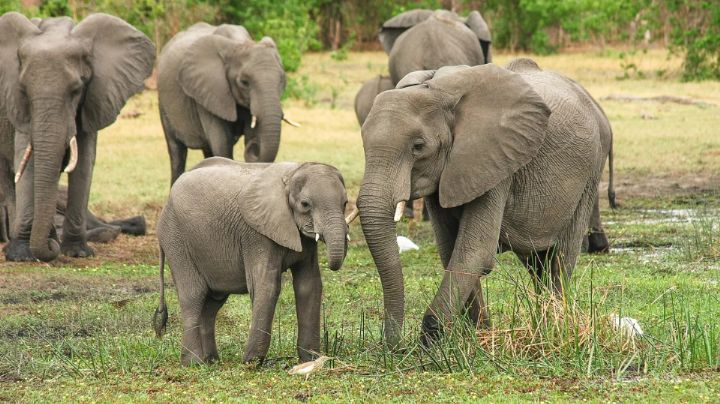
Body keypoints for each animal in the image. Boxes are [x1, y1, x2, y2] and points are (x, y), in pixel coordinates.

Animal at [0, 12, 155, 262]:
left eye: (76, 90)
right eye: (24, 90)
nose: (51, 248)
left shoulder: (93, 98)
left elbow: (83, 164)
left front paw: (77, 252)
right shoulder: (17, 106)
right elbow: (27, 162)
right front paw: (21, 255)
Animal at [153, 157, 356, 366]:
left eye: (345, 203)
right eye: (305, 204)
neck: (291, 175)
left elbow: (309, 285)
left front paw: (311, 360)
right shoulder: (257, 234)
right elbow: (267, 285)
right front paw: (251, 362)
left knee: (211, 304)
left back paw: (212, 361)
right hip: (176, 239)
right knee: (193, 296)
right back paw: (194, 363)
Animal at [158, 23, 297, 185]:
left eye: (282, 80)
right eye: (244, 82)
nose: (254, 147)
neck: (239, 43)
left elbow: (249, 134)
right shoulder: (209, 91)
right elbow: (221, 143)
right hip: (163, 104)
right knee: (177, 153)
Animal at [356, 59, 612, 347]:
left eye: (418, 146)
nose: (396, 346)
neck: (437, 91)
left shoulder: (496, 162)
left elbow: (475, 252)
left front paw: (431, 341)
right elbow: (451, 250)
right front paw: (477, 334)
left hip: (591, 172)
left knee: (561, 256)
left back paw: (555, 326)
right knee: (538, 262)